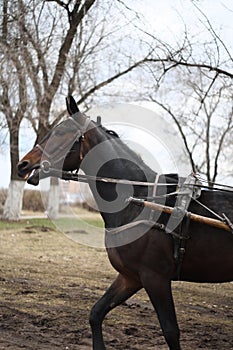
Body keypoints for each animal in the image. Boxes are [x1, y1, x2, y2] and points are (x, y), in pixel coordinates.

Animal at [17, 95, 233, 350]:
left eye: (61, 132)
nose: (22, 164)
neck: (139, 200)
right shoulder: (130, 277)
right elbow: (96, 313)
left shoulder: (155, 278)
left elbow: (171, 331)